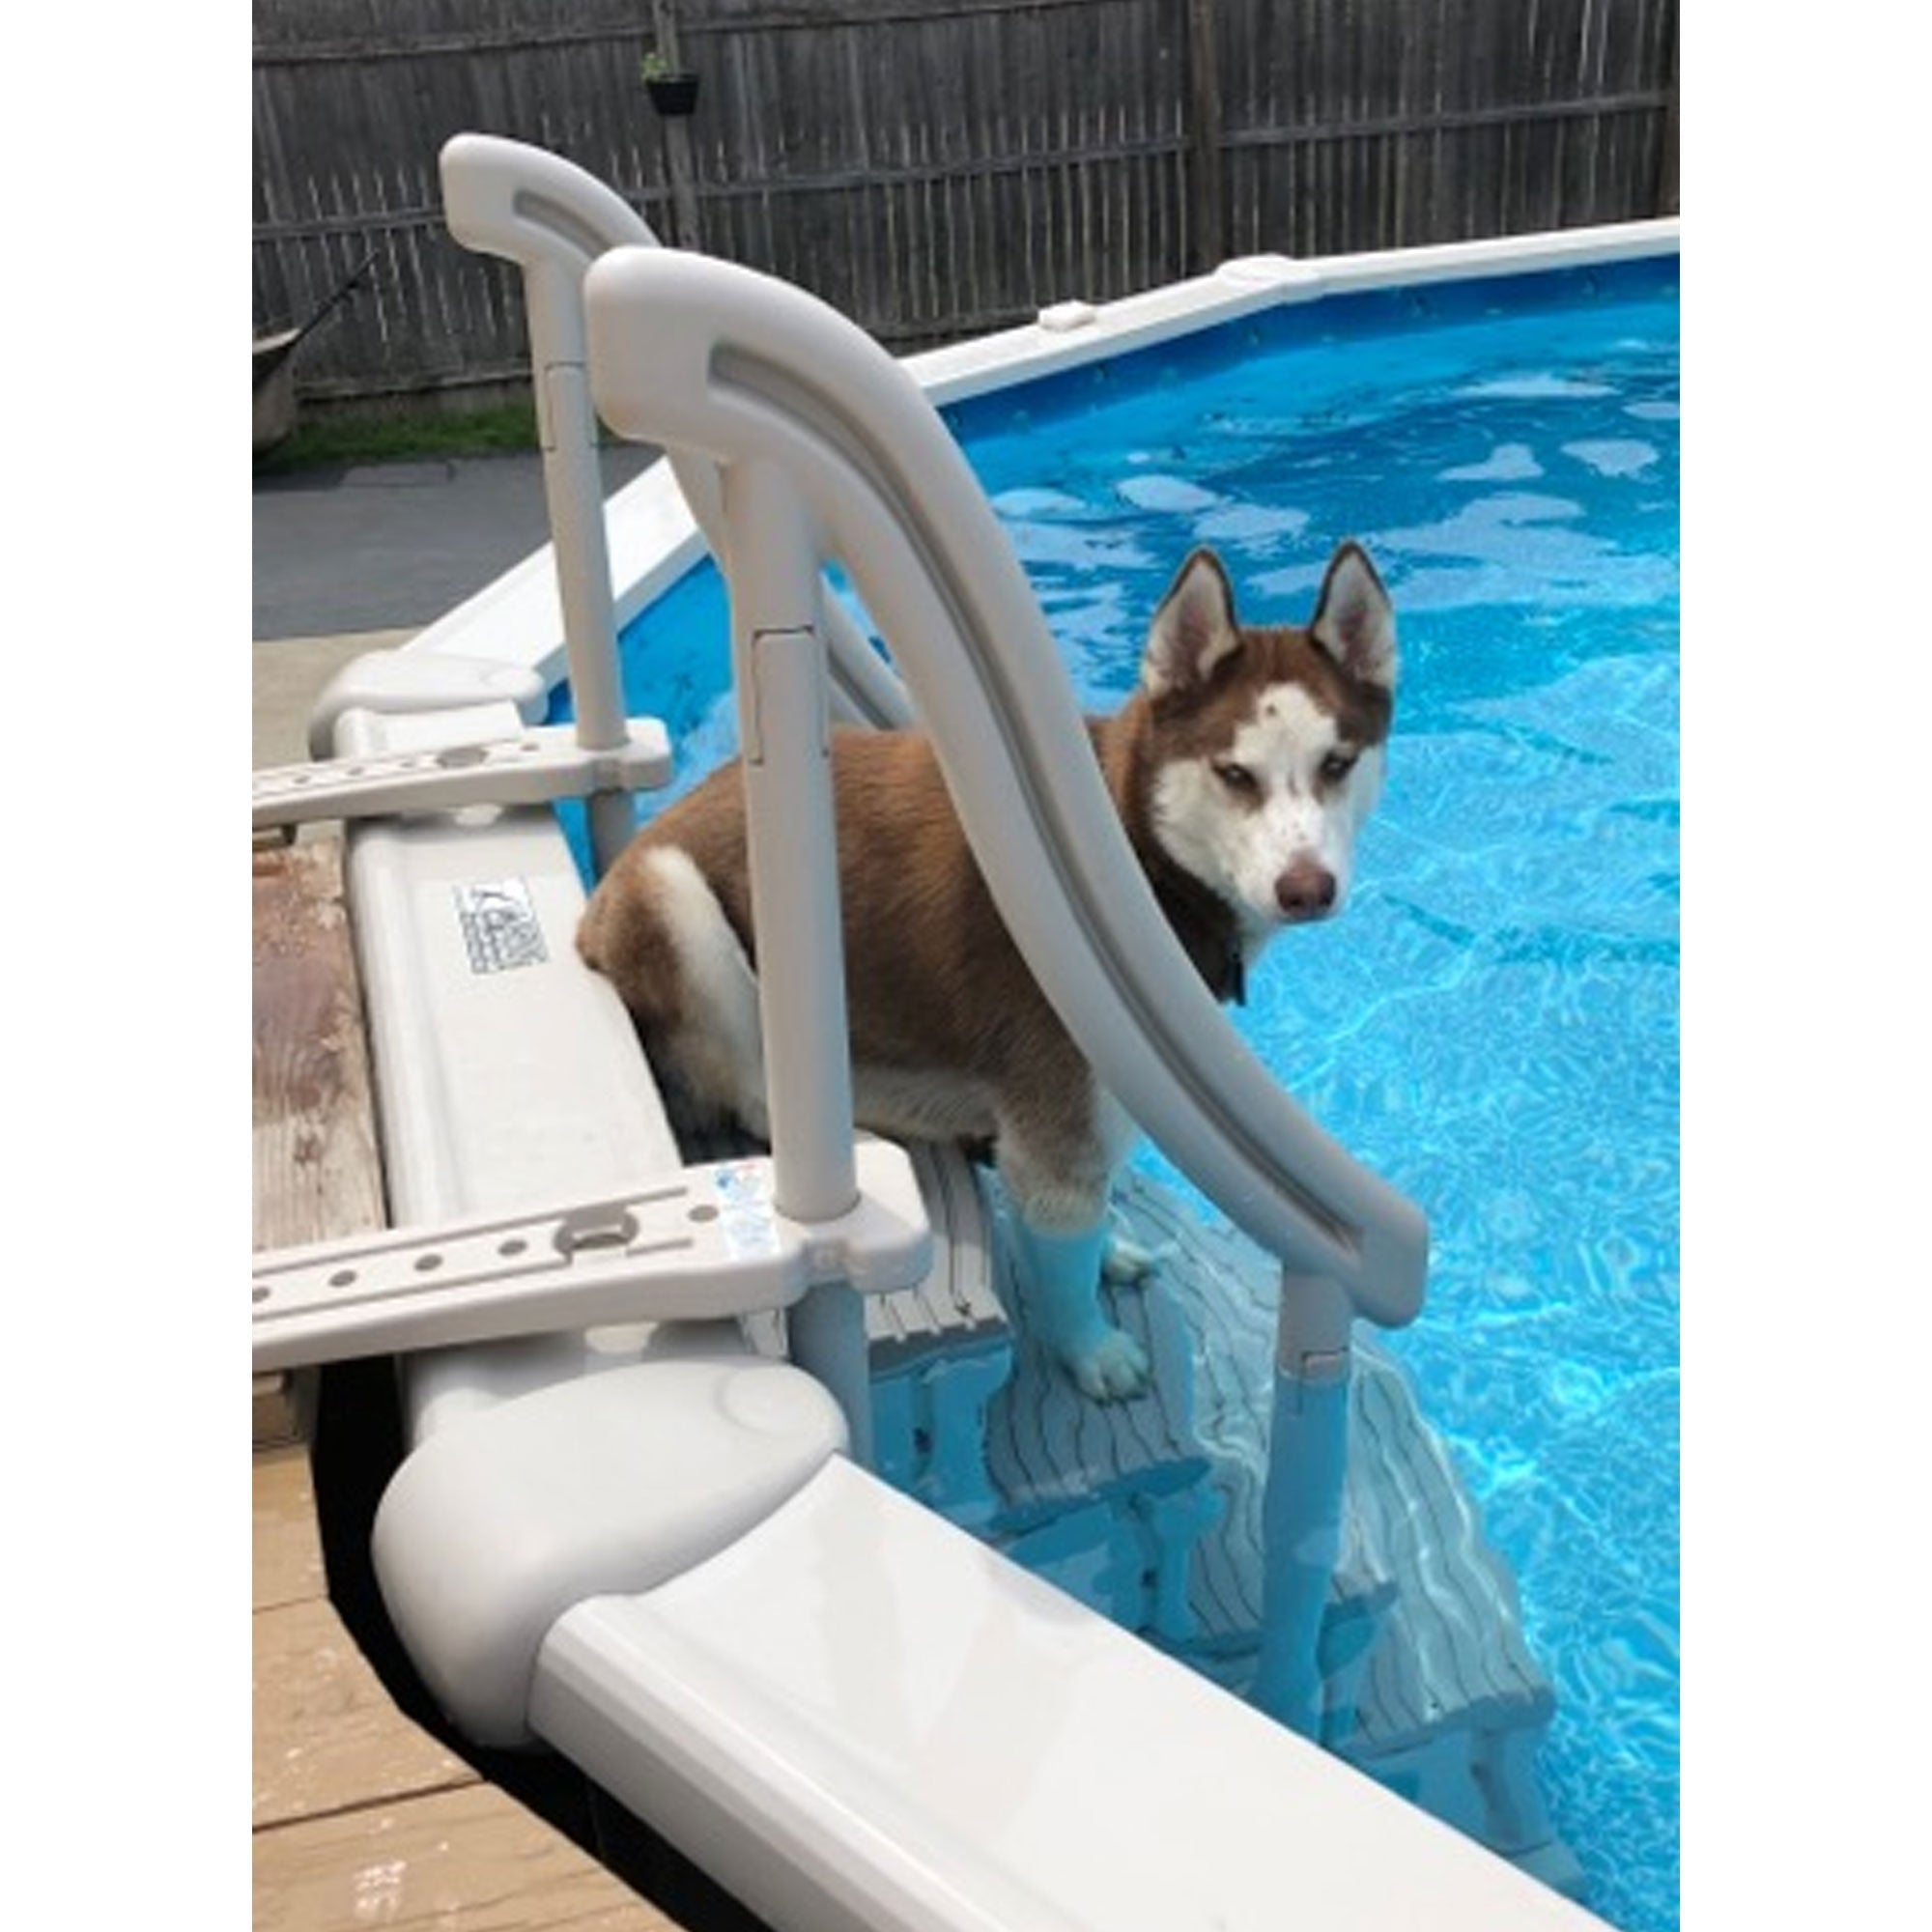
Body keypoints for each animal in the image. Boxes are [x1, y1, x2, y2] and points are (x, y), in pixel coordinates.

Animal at [578, 540, 1397, 1400]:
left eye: (1338, 763)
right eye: (1235, 774)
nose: (1307, 889)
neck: (1140, 857)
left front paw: (1108, 1249)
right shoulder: (1056, 1127)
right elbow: (1065, 1257)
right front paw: (1090, 1349)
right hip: (675, 899)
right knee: (757, 1098)